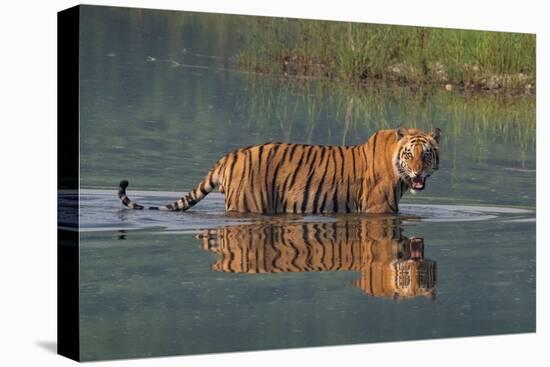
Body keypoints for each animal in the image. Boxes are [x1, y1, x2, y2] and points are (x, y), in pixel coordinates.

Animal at [118, 127, 442, 214]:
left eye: (426, 156)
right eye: (410, 155)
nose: (417, 173)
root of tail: (229, 157)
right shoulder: (379, 209)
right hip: (248, 204)